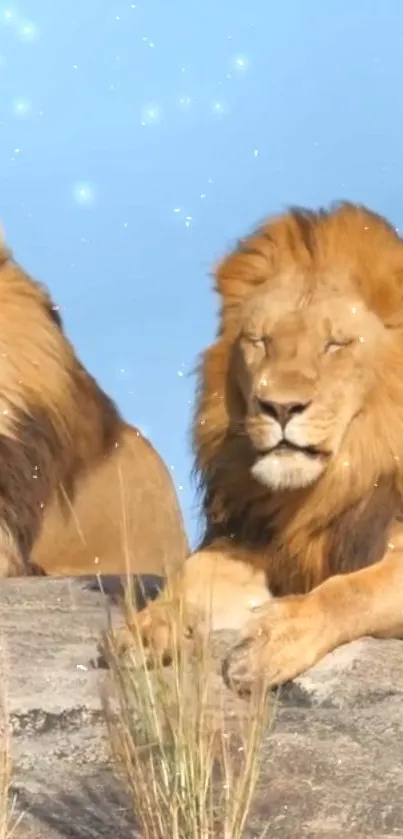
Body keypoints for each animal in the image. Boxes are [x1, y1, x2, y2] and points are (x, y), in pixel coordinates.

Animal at [109, 202, 403, 696]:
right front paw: (152, 624)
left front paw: (274, 637)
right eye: (260, 341)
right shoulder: (256, 539)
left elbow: (351, 589)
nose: (280, 407)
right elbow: (194, 573)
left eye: (335, 344)